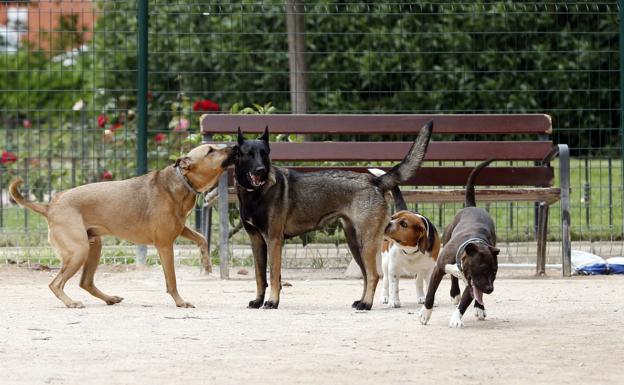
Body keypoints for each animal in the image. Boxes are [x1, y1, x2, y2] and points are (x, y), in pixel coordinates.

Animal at [9, 142, 234, 308]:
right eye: (210, 150)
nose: (234, 146)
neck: (179, 182)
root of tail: (50, 206)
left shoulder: (180, 229)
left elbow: (202, 238)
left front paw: (206, 263)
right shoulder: (164, 244)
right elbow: (172, 280)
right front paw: (180, 302)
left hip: (94, 246)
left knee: (85, 282)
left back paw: (109, 298)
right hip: (79, 250)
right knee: (55, 284)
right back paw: (71, 302)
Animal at [234, 120, 434, 308]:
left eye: (264, 153)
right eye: (249, 154)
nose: (261, 170)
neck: (256, 193)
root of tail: (375, 181)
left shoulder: (274, 241)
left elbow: (274, 276)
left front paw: (272, 302)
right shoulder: (257, 241)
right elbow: (260, 276)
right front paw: (258, 301)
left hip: (366, 242)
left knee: (374, 275)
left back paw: (366, 304)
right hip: (355, 244)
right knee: (366, 276)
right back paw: (361, 301)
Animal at [416, 158, 500, 326]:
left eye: (494, 271)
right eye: (482, 269)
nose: (490, 289)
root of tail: (471, 206)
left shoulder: (472, 282)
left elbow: (466, 302)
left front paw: (456, 318)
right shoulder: (439, 268)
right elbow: (430, 294)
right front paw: (425, 313)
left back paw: (479, 307)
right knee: (454, 278)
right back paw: (455, 293)